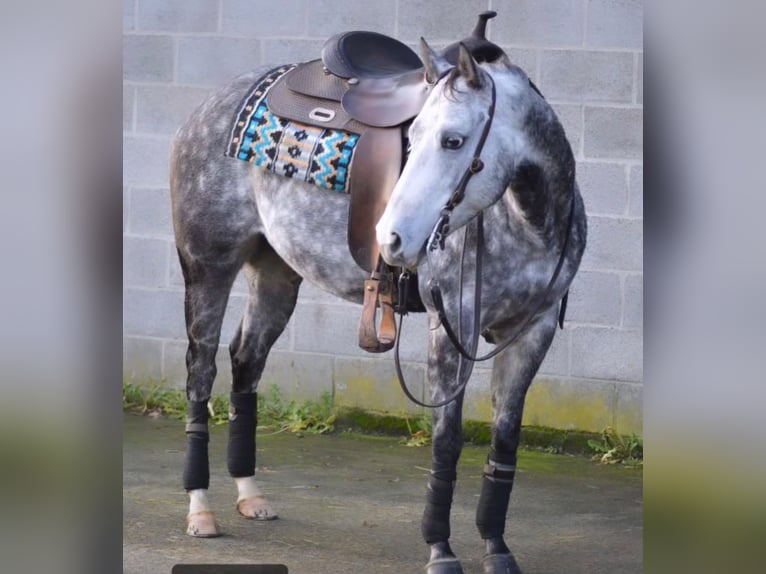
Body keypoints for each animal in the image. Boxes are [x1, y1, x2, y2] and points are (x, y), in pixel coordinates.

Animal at [169, 15, 586, 574]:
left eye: (454, 141)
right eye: (415, 135)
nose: (390, 239)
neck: (527, 221)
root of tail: (210, 103)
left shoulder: (531, 331)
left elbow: (505, 441)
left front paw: (497, 550)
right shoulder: (451, 328)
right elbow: (446, 444)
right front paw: (440, 551)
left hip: (275, 273)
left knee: (246, 359)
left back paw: (250, 495)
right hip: (207, 268)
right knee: (201, 370)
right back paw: (201, 511)